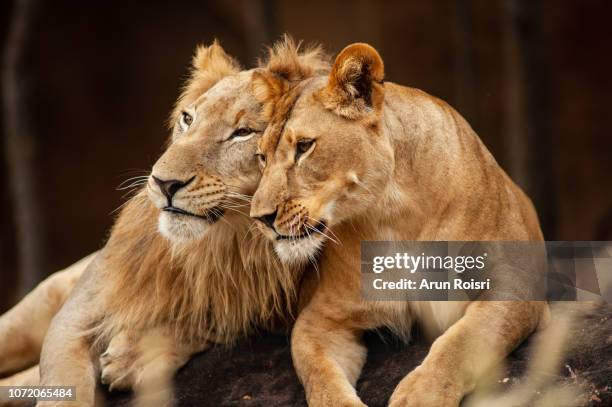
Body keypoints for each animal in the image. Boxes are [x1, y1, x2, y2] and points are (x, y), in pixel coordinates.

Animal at [0, 36, 330, 406]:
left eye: (243, 132)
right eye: (188, 119)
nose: (164, 182)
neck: (224, 242)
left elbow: (215, 319)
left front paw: (133, 356)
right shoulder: (75, 315)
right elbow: (64, 384)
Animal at [251, 43, 548, 406]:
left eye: (305, 147)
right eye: (262, 157)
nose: (259, 218)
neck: (392, 212)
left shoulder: (517, 283)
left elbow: (464, 340)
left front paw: (420, 394)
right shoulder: (320, 319)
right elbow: (321, 377)